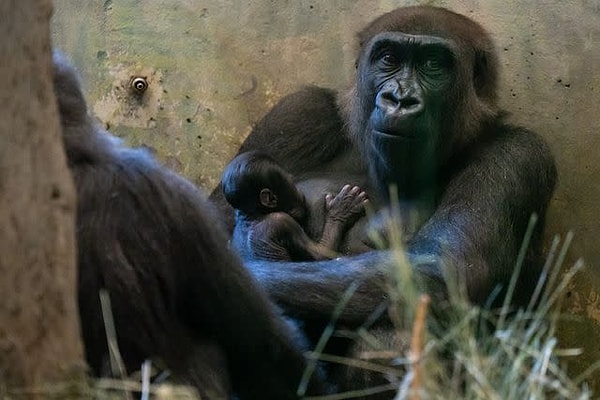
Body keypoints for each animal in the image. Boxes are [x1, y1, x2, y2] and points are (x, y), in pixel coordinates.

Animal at [223, 152, 368, 260]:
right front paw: (341, 210)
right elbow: (319, 254)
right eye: (291, 183)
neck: (253, 215)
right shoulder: (282, 223)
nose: (299, 190)